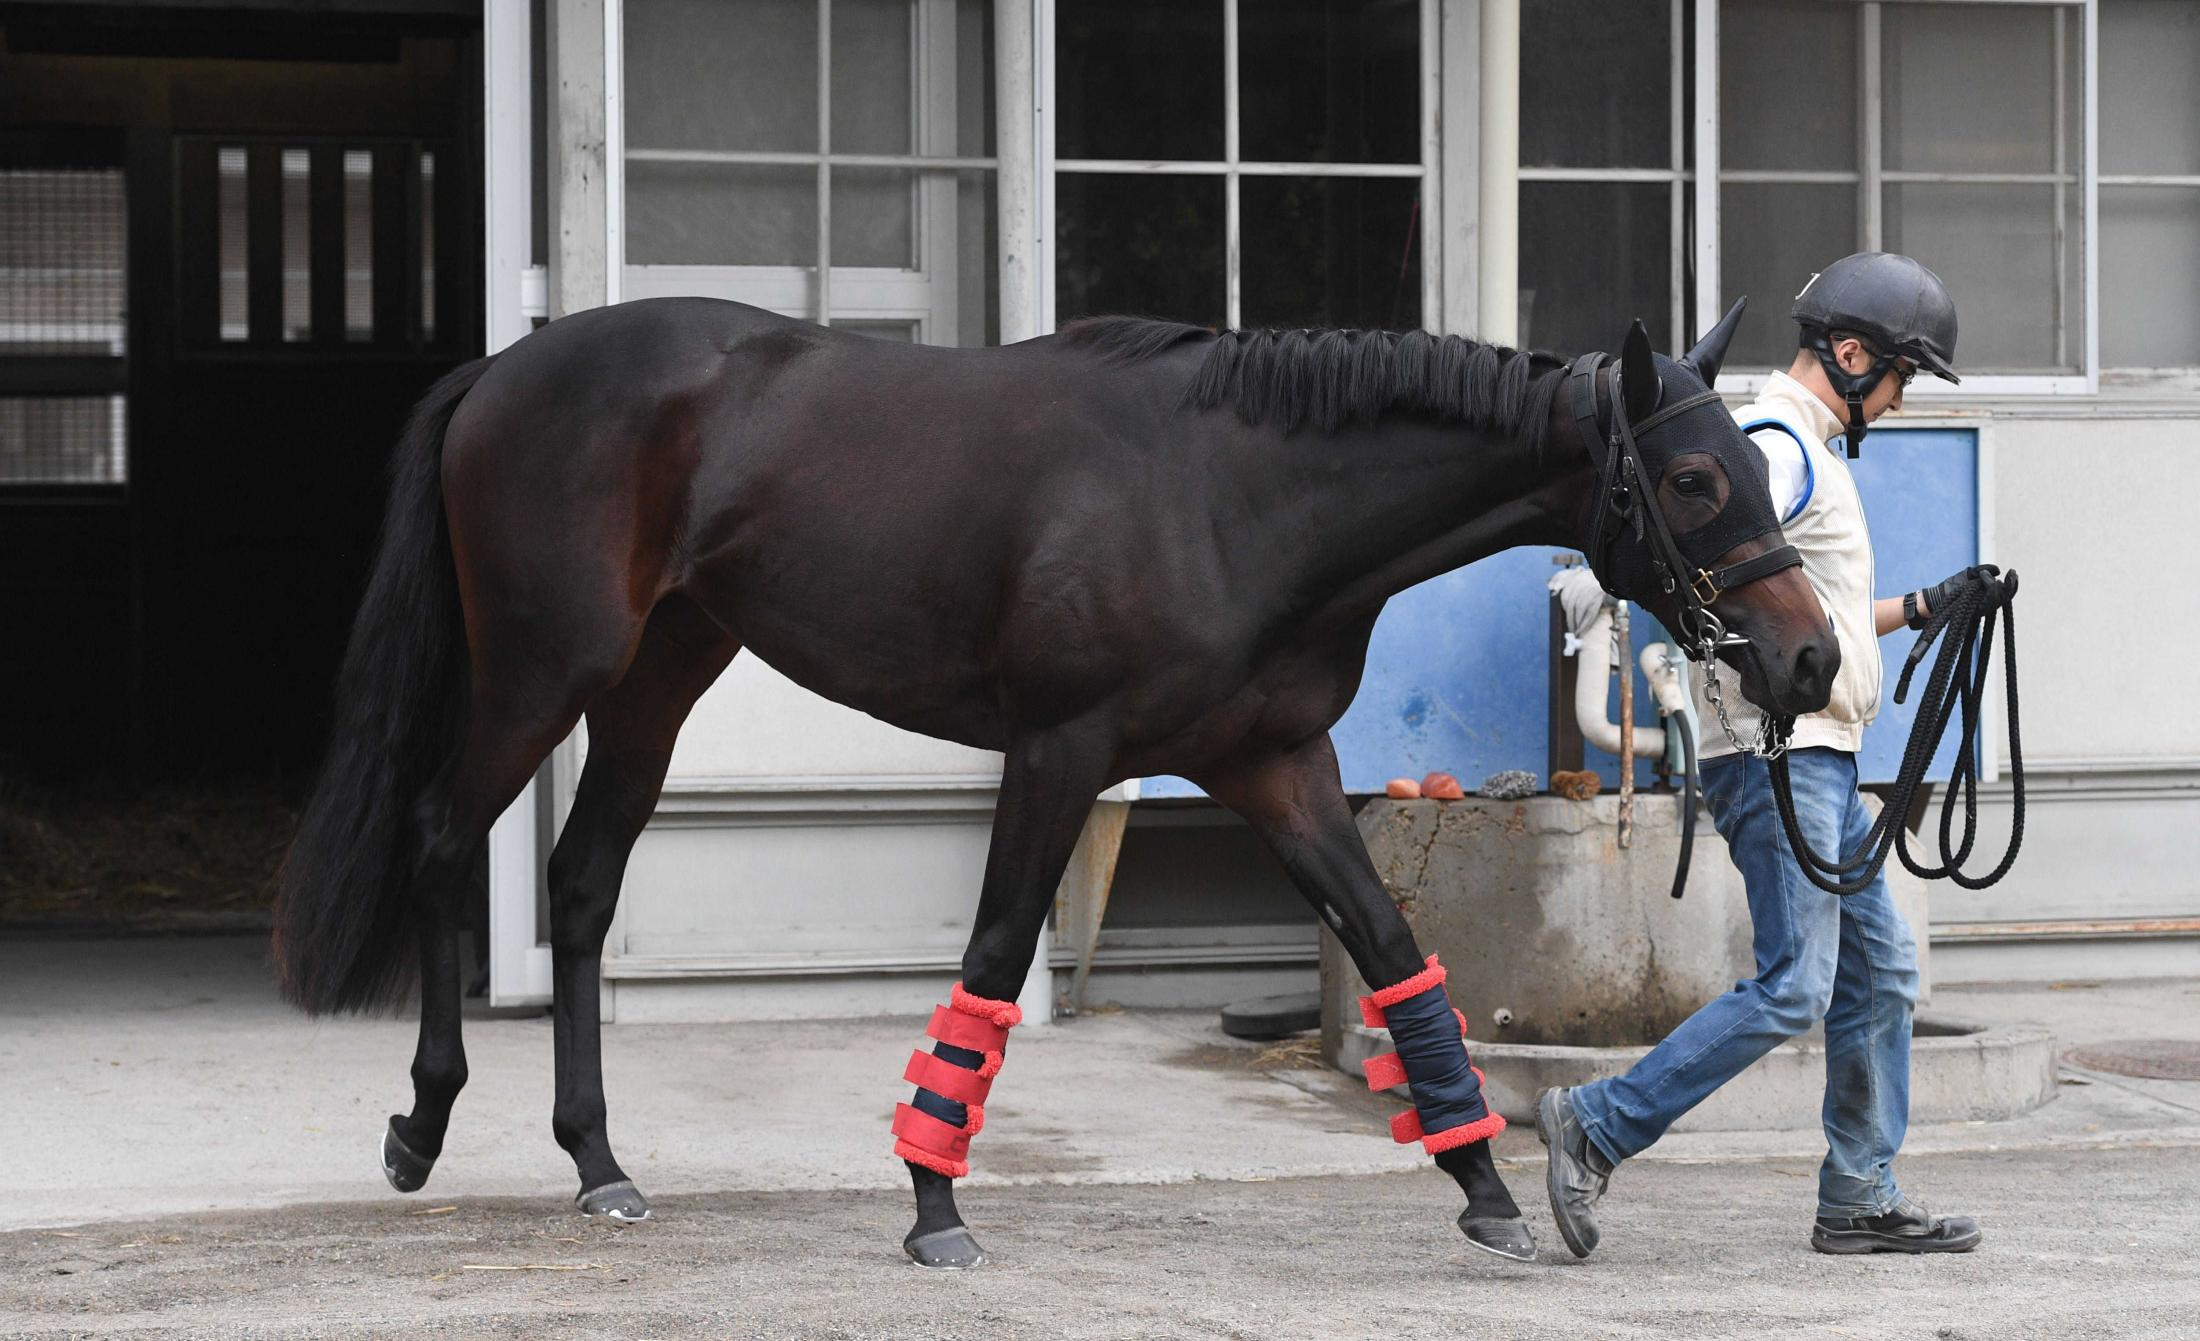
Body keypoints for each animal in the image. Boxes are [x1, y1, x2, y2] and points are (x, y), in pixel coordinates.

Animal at [266, 292, 1830, 1266]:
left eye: (1762, 469)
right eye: (1693, 483)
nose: (1808, 660)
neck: (1233, 493)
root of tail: (503, 369)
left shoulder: (1274, 766)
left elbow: (1396, 954)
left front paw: (1489, 1185)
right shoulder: (1061, 752)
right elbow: (995, 951)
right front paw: (932, 1202)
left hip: (659, 677)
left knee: (584, 885)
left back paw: (598, 1165)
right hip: (549, 672)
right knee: (437, 838)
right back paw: (420, 1125)